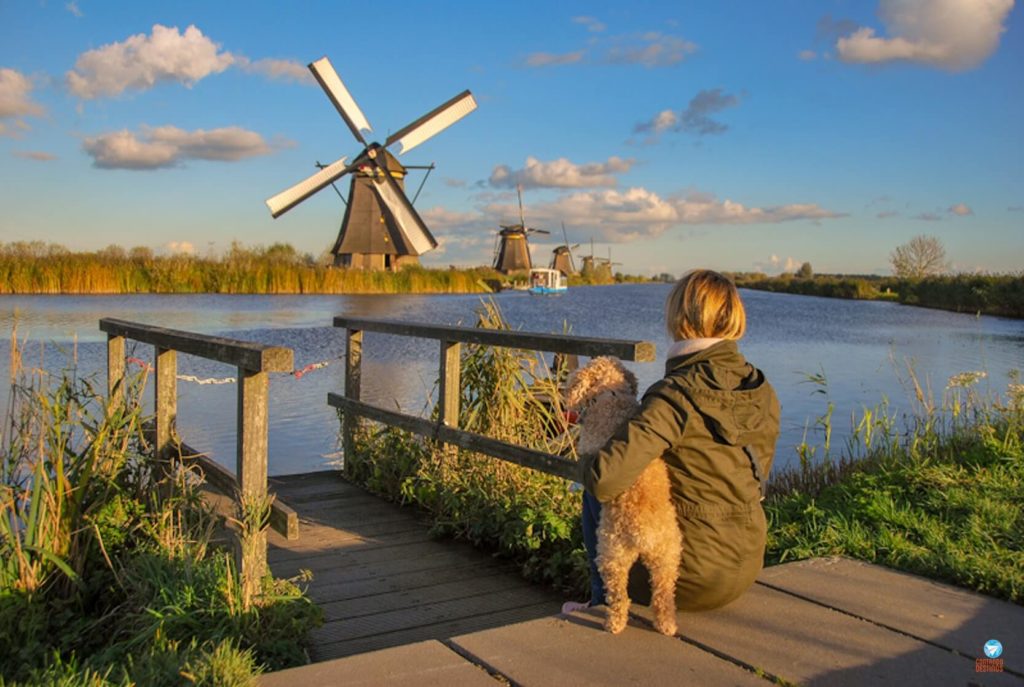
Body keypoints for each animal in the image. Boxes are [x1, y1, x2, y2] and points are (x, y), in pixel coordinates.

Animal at [569, 358, 679, 638]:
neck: (612, 393)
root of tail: (644, 533)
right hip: (668, 557)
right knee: (663, 596)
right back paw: (667, 625)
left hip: (611, 554)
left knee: (619, 597)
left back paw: (613, 624)